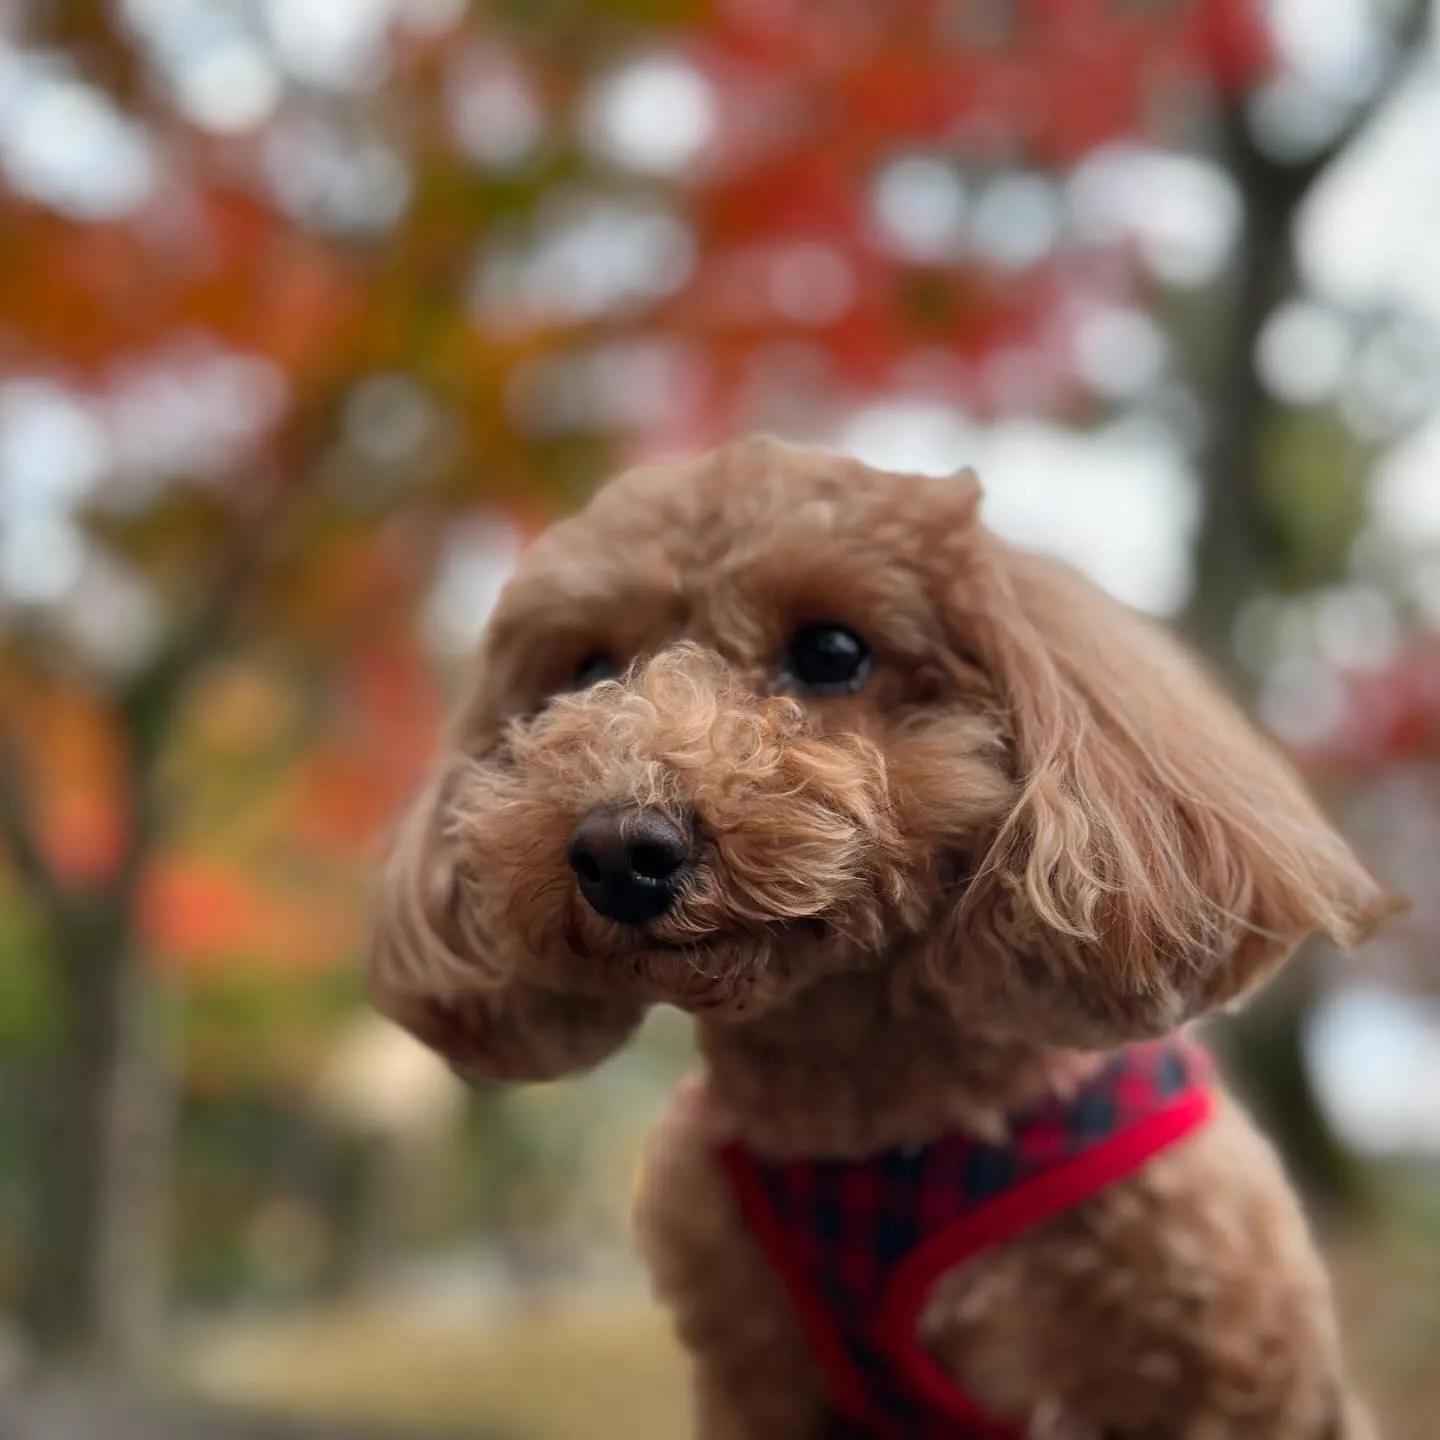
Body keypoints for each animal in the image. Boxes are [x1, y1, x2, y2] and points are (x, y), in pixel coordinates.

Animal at [368, 440, 1393, 1440]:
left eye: (832, 652)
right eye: (585, 669)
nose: (621, 850)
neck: (862, 1121)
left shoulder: (1229, 1374)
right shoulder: (757, 1383)